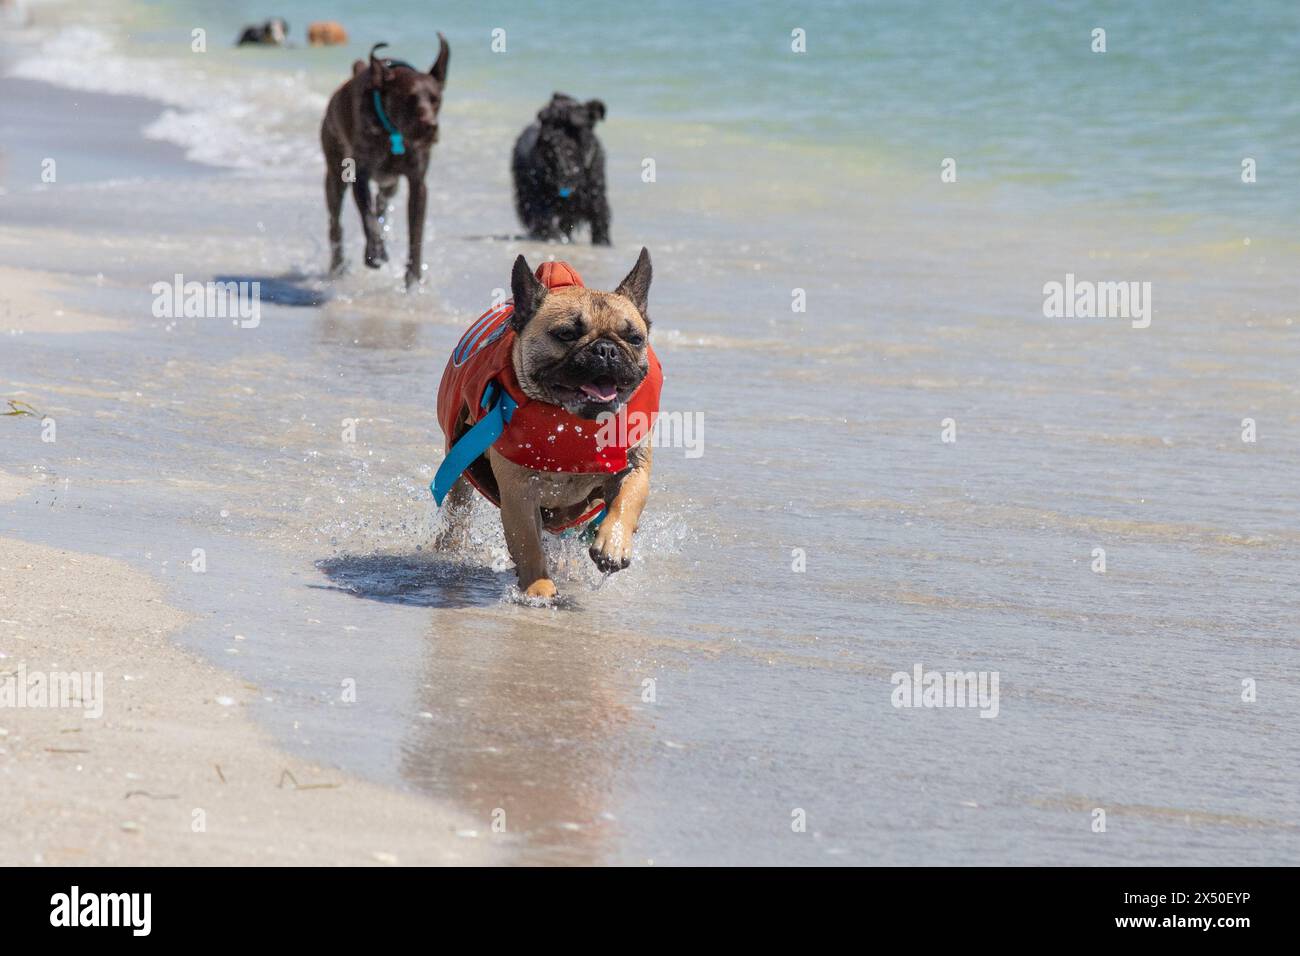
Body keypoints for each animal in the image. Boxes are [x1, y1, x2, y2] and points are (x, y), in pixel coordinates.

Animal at [321, 39, 452, 286]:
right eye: (409, 98)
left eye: (436, 100)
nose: (431, 127)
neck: (393, 132)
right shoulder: (360, 176)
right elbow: (368, 219)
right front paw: (373, 253)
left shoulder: (418, 183)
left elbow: (415, 232)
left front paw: (413, 278)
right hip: (335, 172)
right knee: (335, 222)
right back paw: (337, 266)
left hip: (390, 183)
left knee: (382, 202)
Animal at [439, 251, 660, 600]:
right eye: (566, 334)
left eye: (635, 339)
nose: (606, 350)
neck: (573, 423)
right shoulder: (519, 492)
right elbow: (528, 542)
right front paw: (538, 588)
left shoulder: (634, 467)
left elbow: (627, 502)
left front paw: (613, 545)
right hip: (460, 473)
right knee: (458, 512)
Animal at [509, 93, 611, 244]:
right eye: (544, 119)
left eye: (573, 125)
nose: (547, 140)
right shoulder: (543, 202)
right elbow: (545, 221)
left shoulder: (597, 201)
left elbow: (600, 223)